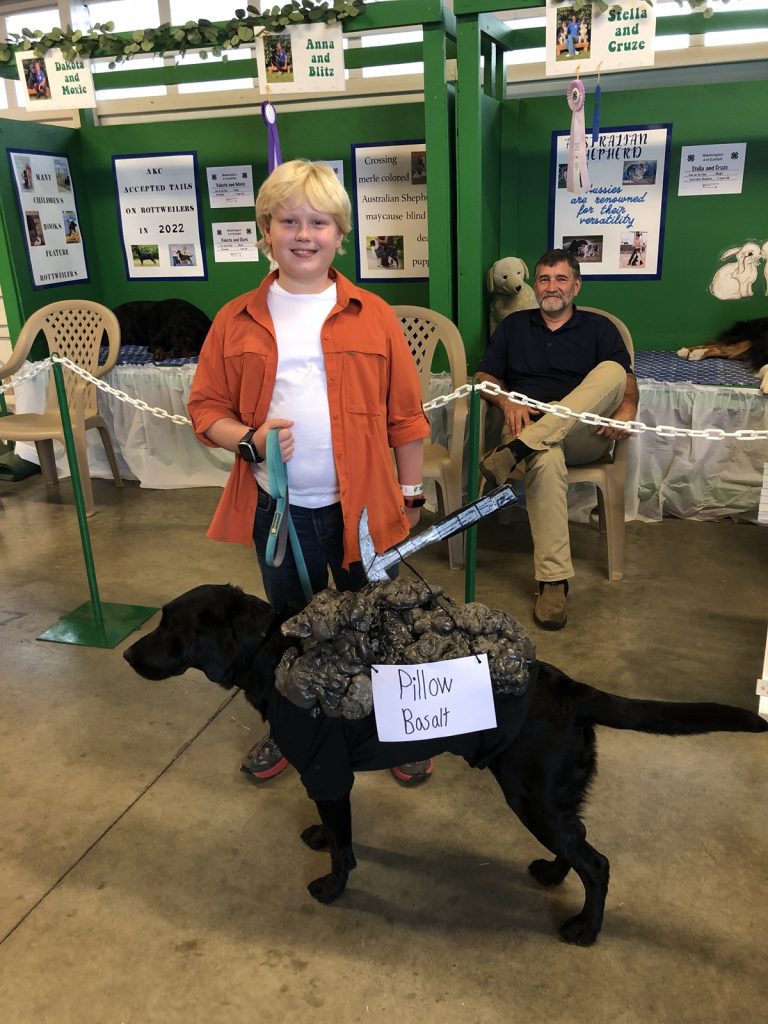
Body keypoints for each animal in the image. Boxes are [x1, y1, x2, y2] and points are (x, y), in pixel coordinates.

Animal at [123, 581, 765, 946]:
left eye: (170, 626)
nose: (126, 653)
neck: (270, 652)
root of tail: (572, 688)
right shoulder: (330, 778)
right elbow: (332, 829)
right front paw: (317, 837)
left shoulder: (328, 772)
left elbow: (344, 849)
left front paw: (332, 888)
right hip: (550, 801)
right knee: (580, 845)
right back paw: (553, 874)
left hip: (532, 798)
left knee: (599, 864)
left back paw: (586, 930)